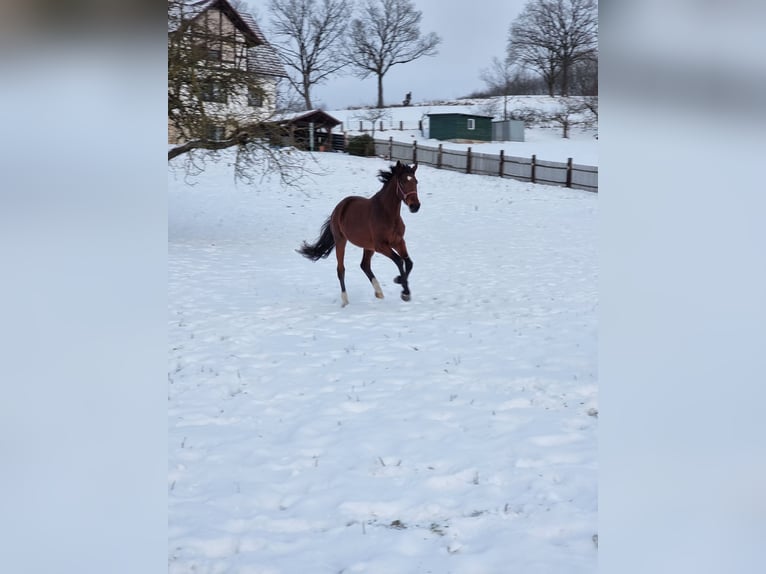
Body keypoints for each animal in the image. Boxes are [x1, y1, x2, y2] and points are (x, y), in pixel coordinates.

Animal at [297, 160, 421, 307]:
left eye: (416, 182)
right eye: (402, 182)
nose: (415, 206)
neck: (387, 214)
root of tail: (338, 208)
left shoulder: (398, 241)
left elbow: (409, 263)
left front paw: (402, 285)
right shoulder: (381, 246)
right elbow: (399, 261)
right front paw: (403, 289)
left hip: (368, 247)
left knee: (364, 265)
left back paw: (379, 292)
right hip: (341, 241)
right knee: (341, 270)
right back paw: (345, 300)